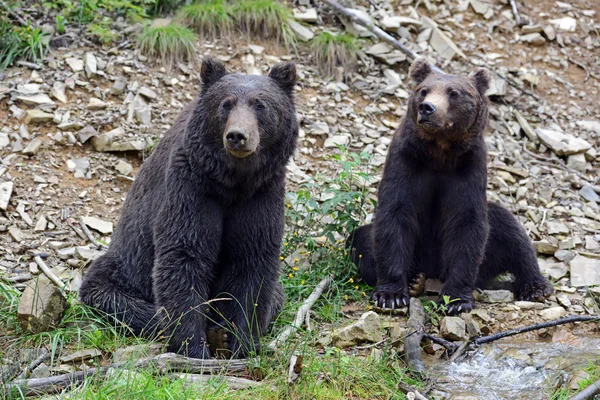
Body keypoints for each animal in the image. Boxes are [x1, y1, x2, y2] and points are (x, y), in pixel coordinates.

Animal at [79, 55, 300, 356]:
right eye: (226, 103)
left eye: (260, 104)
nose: (237, 135)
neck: (232, 181)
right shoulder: (191, 186)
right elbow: (184, 254)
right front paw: (194, 346)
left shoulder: (262, 193)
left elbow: (253, 261)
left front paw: (239, 341)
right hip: (125, 267)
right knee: (116, 297)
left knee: (277, 294)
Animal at [346, 58, 552, 316]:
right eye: (424, 90)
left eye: (454, 93)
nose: (427, 108)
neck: (440, 151)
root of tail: (432, 271)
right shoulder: (406, 160)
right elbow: (394, 214)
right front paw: (391, 295)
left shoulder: (469, 167)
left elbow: (467, 222)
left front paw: (456, 299)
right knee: (360, 240)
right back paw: (415, 280)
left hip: (489, 254)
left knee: (511, 230)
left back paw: (537, 287)